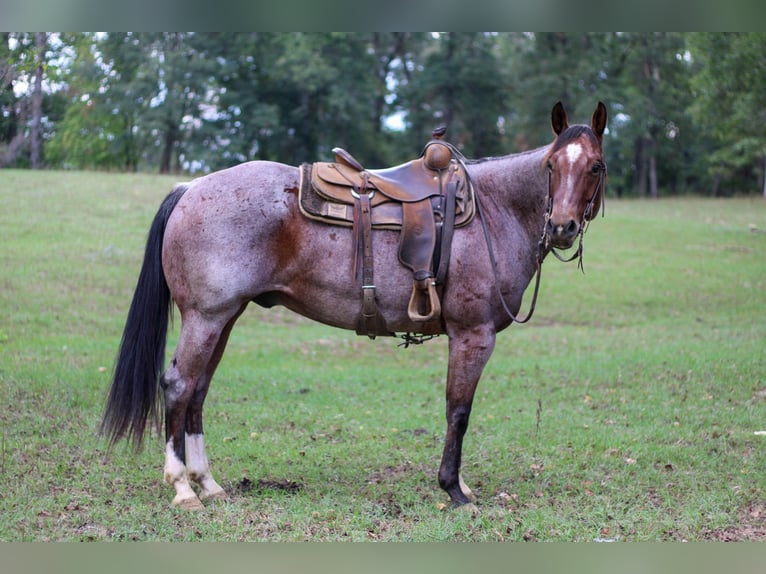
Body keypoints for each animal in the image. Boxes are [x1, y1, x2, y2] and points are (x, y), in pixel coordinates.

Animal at [102, 100, 608, 512]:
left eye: (596, 167)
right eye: (551, 164)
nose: (561, 226)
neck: (494, 210)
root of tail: (190, 188)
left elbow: (456, 410)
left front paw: (459, 484)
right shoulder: (472, 335)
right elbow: (458, 411)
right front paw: (453, 488)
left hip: (224, 318)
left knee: (198, 391)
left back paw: (207, 484)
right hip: (206, 319)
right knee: (179, 386)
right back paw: (182, 488)